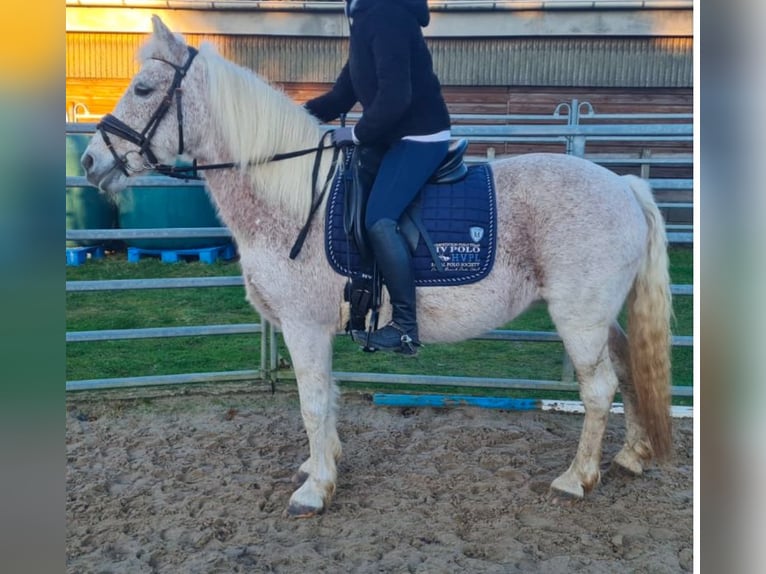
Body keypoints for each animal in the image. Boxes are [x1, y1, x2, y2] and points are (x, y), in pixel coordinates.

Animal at [81, 15, 676, 520]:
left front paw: (315, 489)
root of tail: (624, 184)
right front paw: (322, 463)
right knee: (627, 370)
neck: (293, 198)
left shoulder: (302, 325)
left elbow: (312, 403)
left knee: (597, 389)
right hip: (601, 316)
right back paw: (632, 454)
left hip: (579, 317)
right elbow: (328, 397)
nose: (89, 161)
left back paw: (577, 478)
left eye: (144, 89)